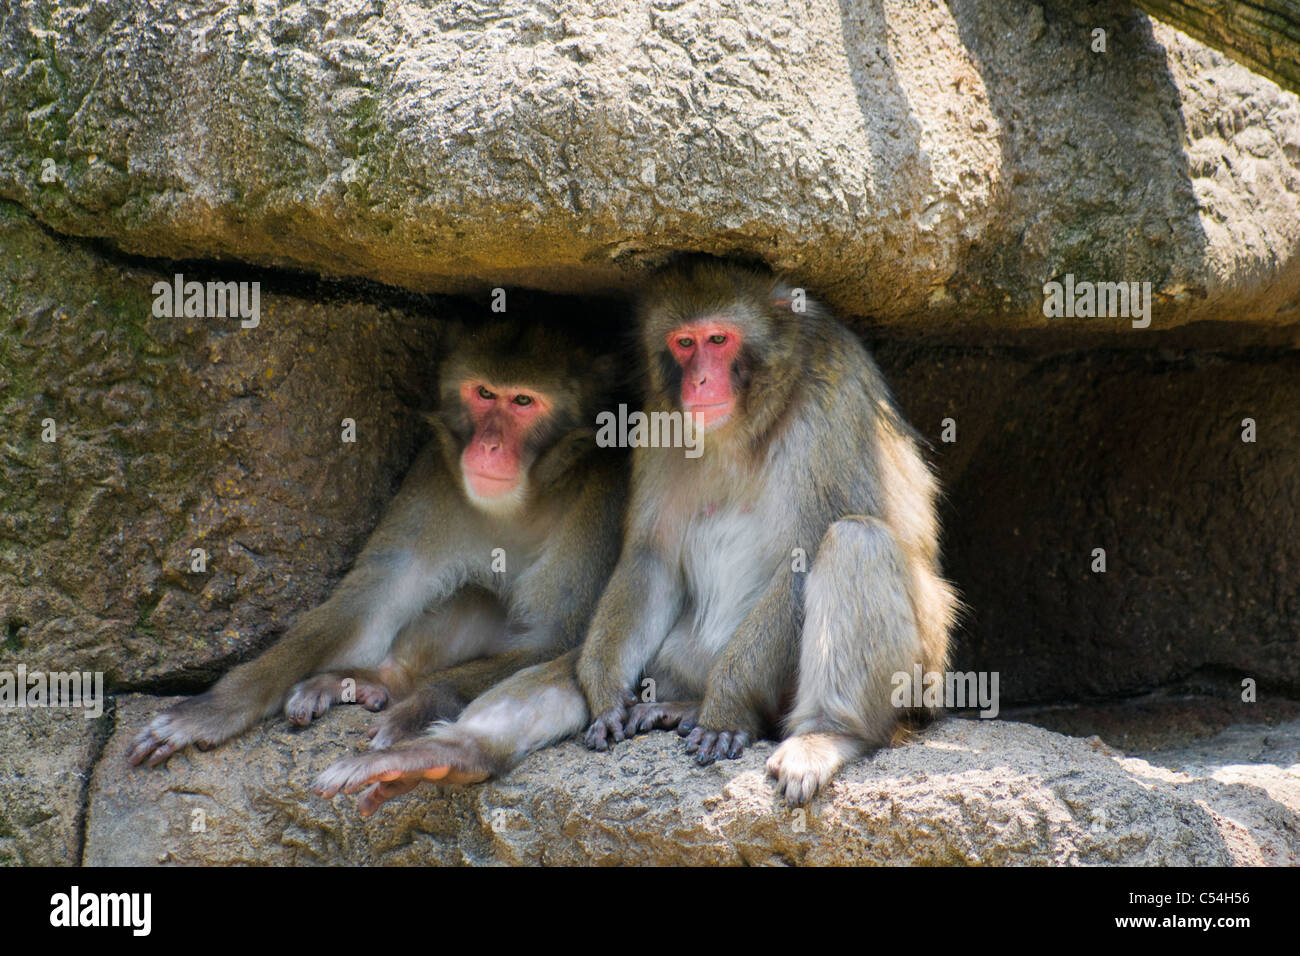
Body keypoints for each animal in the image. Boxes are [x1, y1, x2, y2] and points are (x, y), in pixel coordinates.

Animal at [125, 317, 624, 764]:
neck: (524, 498)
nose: (488, 447)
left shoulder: (599, 499)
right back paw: (379, 679)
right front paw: (218, 706)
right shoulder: (434, 473)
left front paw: (420, 706)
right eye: (484, 393)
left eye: (523, 401)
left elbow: (553, 638)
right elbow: (374, 599)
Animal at [314, 264, 956, 816]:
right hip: (676, 659)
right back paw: (451, 754)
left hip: (918, 676)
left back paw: (821, 734)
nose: (700, 381)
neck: (747, 422)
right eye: (683, 343)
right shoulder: (657, 415)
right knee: (565, 666)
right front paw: (603, 697)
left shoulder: (834, 398)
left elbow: (804, 555)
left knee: (855, 540)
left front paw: (728, 709)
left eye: (719, 339)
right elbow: (651, 557)